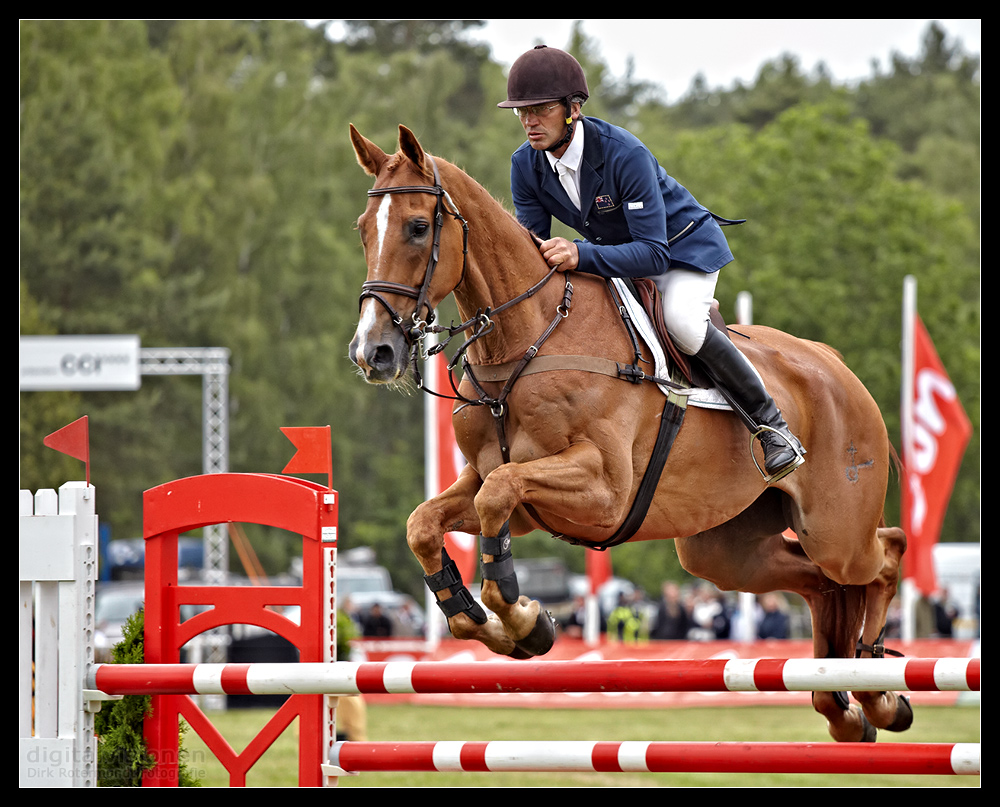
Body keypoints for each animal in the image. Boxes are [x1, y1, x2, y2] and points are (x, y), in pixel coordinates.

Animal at [348, 126, 912, 744]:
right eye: (363, 229)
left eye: (417, 227)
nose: (372, 353)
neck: (527, 339)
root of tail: (836, 366)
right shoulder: (503, 488)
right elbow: (425, 523)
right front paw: (494, 627)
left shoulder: (603, 493)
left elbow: (498, 495)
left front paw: (524, 619)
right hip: (725, 552)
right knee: (822, 586)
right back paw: (843, 706)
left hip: (835, 531)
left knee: (884, 555)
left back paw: (879, 694)